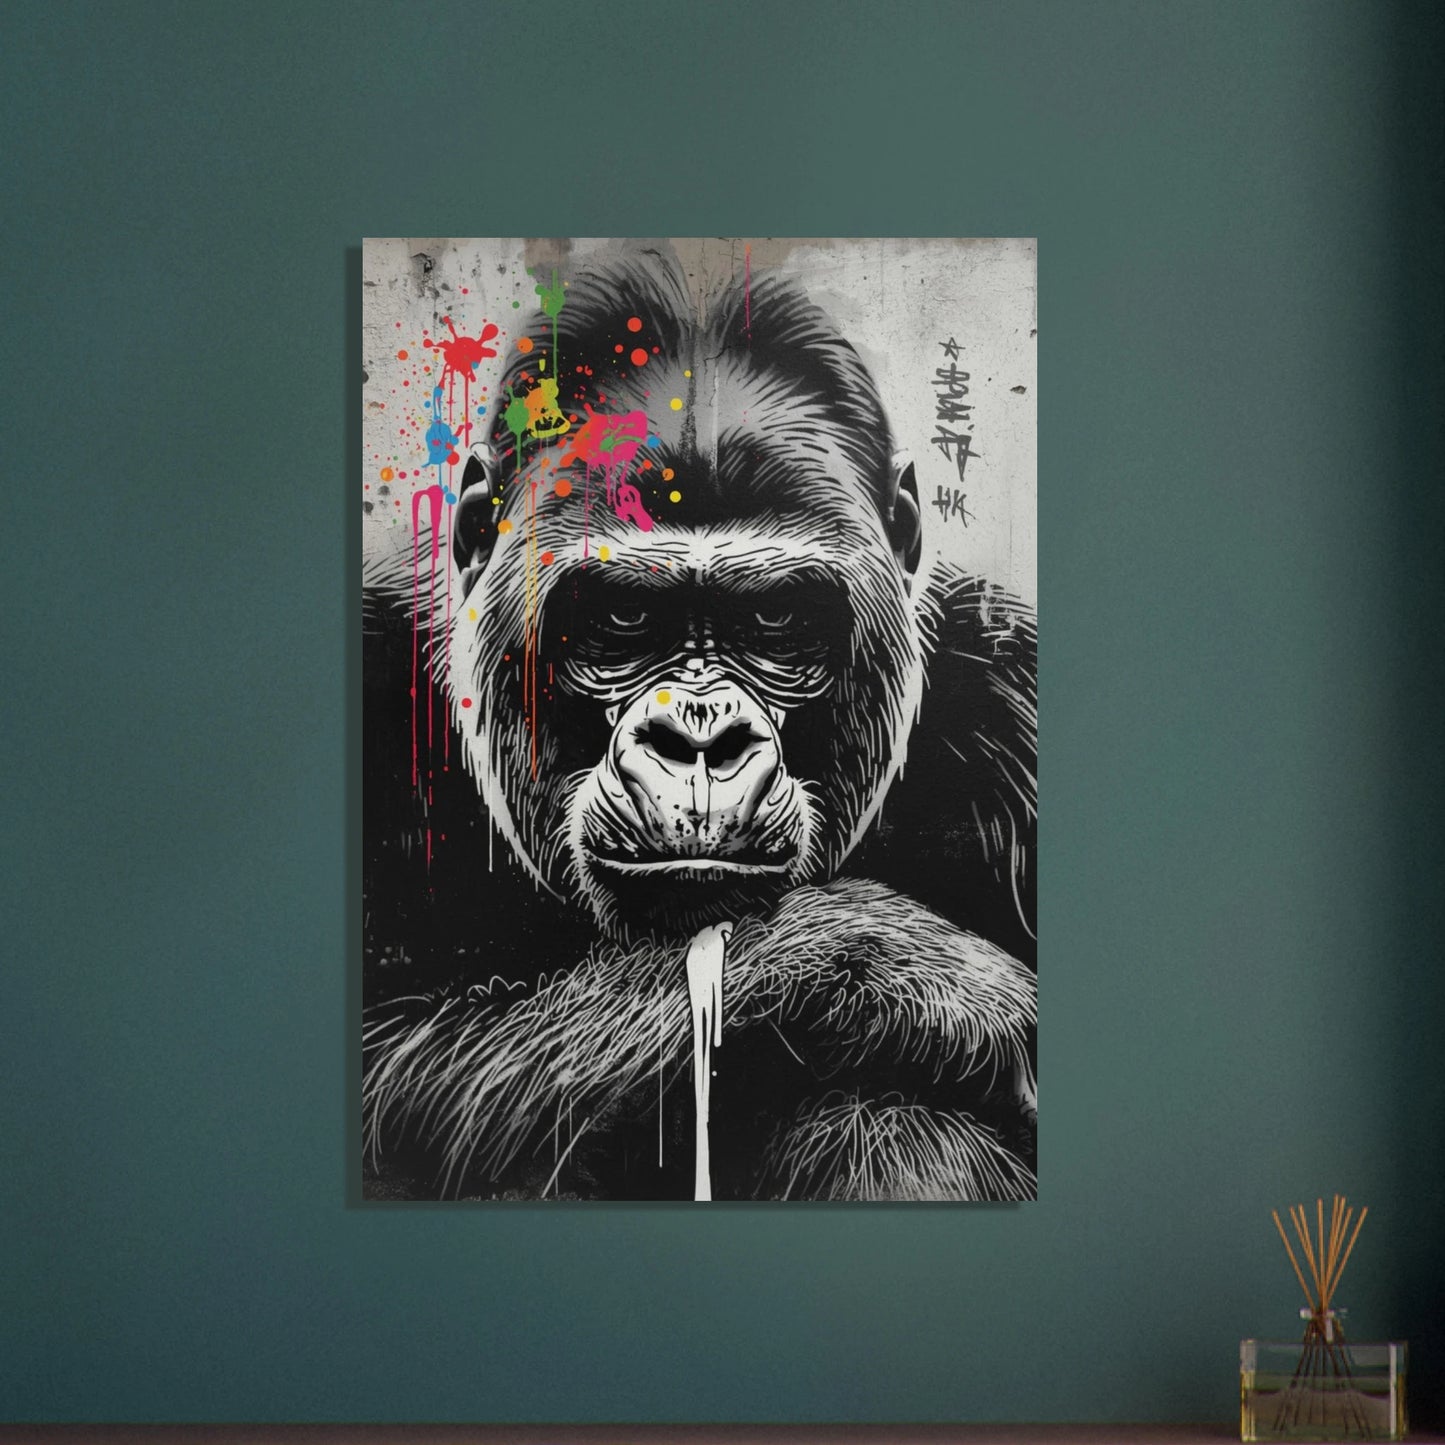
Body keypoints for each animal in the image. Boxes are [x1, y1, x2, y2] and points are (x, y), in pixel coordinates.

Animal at [362, 244, 1036, 1201]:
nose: (700, 738)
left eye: (775, 618)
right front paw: (914, 972)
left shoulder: (1017, 692)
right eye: (623, 617)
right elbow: (388, 1073)